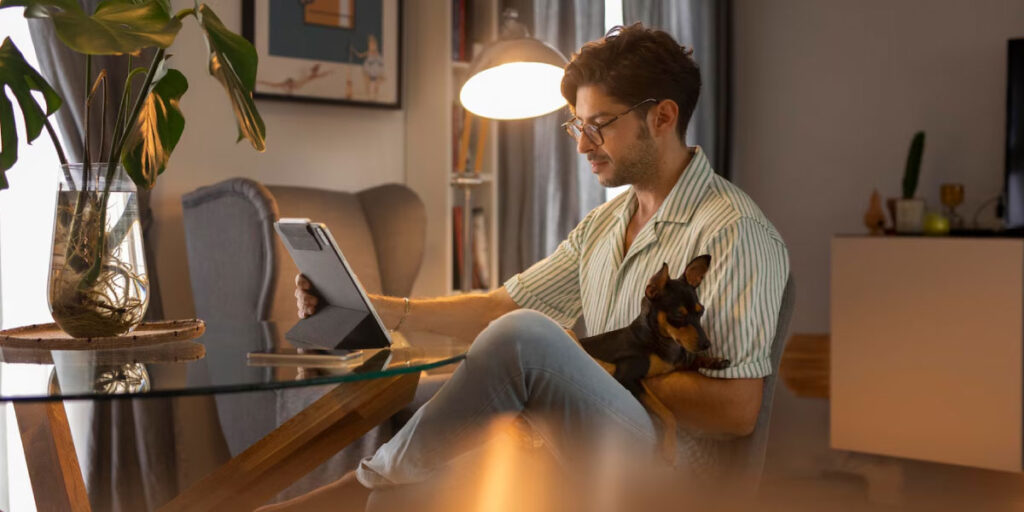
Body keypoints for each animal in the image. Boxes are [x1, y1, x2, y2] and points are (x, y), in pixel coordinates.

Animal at [577, 253, 729, 462]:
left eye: (701, 311)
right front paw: (669, 449)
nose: (707, 344)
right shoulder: (628, 378)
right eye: (678, 316)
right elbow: (667, 413)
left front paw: (715, 361)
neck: (660, 341)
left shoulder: (676, 363)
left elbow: (691, 361)